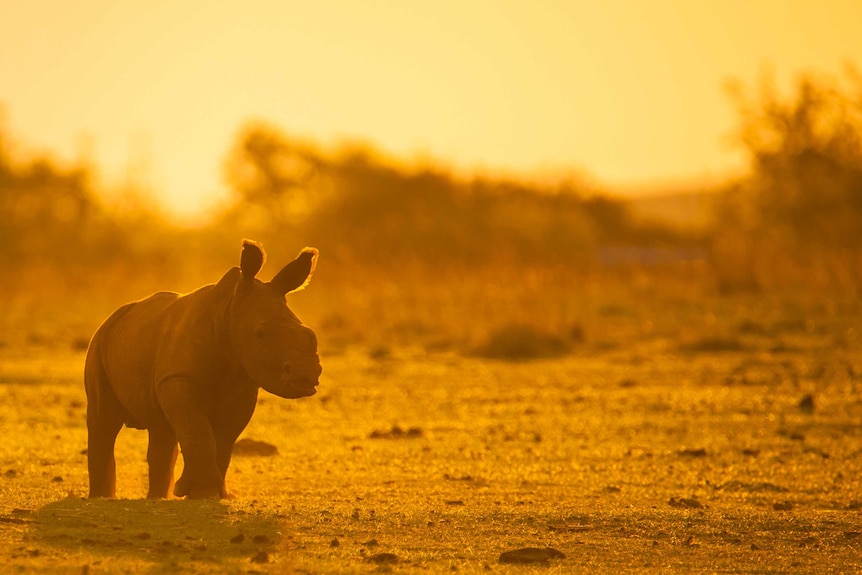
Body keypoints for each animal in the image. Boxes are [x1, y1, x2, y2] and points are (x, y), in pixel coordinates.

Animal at [85, 238, 324, 500]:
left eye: (310, 335)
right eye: (260, 334)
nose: (305, 374)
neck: (228, 311)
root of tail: (113, 316)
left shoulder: (243, 386)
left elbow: (223, 439)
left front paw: (208, 492)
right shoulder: (179, 378)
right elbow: (197, 430)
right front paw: (202, 491)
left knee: (161, 429)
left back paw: (157, 498)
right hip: (99, 343)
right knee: (104, 421)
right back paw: (102, 498)